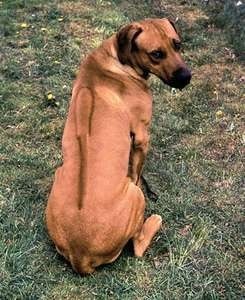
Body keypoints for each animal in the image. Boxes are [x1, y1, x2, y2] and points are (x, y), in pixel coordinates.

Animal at [46, 18, 191, 274]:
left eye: (177, 44)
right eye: (156, 54)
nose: (186, 77)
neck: (115, 58)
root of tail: (80, 256)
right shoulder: (141, 136)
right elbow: (136, 172)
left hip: (58, 174)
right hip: (136, 198)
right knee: (137, 247)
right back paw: (153, 221)